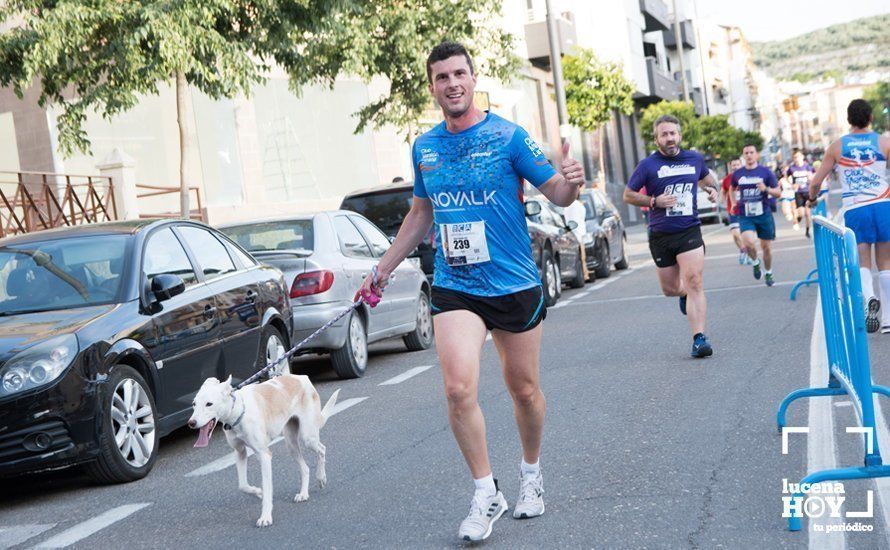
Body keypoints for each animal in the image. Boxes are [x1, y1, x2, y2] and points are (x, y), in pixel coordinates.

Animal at [188, 378, 340, 528]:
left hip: (308, 437)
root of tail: (303, 378)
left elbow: (267, 490)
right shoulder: (240, 452)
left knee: (322, 449)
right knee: (305, 468)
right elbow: (243, 485)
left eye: (209, 404)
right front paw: (258, 492)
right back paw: (303, 493)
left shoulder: (264, 455)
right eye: (194, 404)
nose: (191, 423)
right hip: (291, 444)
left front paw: (265, 517)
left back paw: (321, 478)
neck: (239, 412)